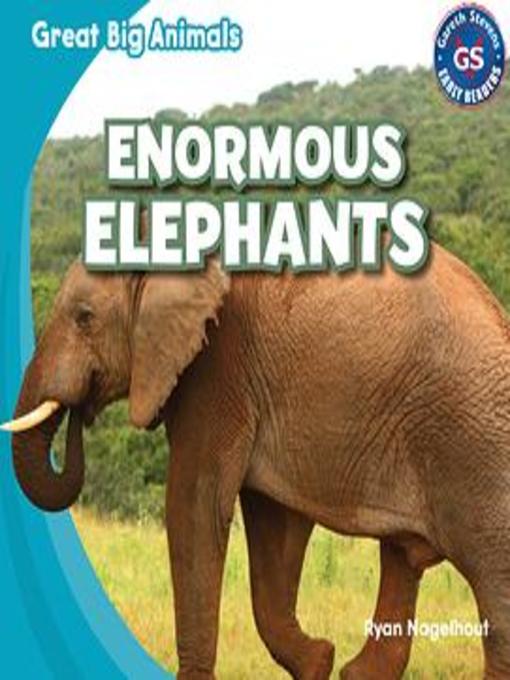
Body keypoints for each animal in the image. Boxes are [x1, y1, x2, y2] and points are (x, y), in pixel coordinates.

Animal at [5, 216, 510, 679]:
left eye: (84, 317)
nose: (80, 409)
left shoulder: (218, 370)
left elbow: (195, 507)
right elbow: (274, 527)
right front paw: (317, 660)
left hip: (471, 442)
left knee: (495, 594)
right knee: (402, 559)